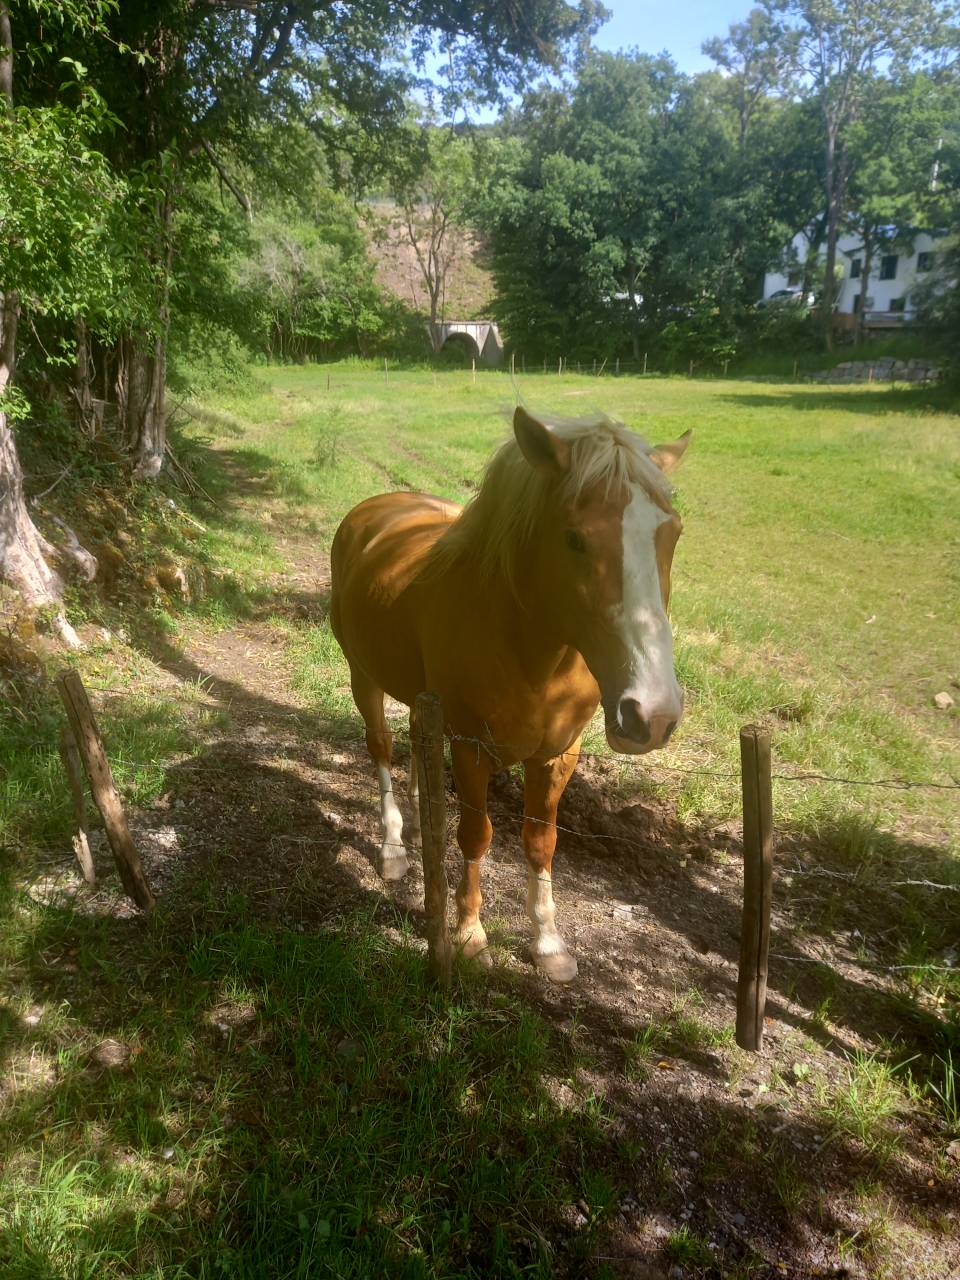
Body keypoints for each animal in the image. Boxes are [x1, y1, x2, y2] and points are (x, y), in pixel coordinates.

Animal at [330, 406, 690, 981]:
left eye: (671, 534)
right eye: (574, 538)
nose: (651, 715)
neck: (530, 651)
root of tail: (373, 511)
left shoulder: (558, 755)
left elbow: (540, 842)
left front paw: (548, 942)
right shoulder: (471, 750)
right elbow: (477, 835)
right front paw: (470, 934)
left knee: (415, 740)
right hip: (362, 674)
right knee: (381, 747)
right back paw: (394, 848)